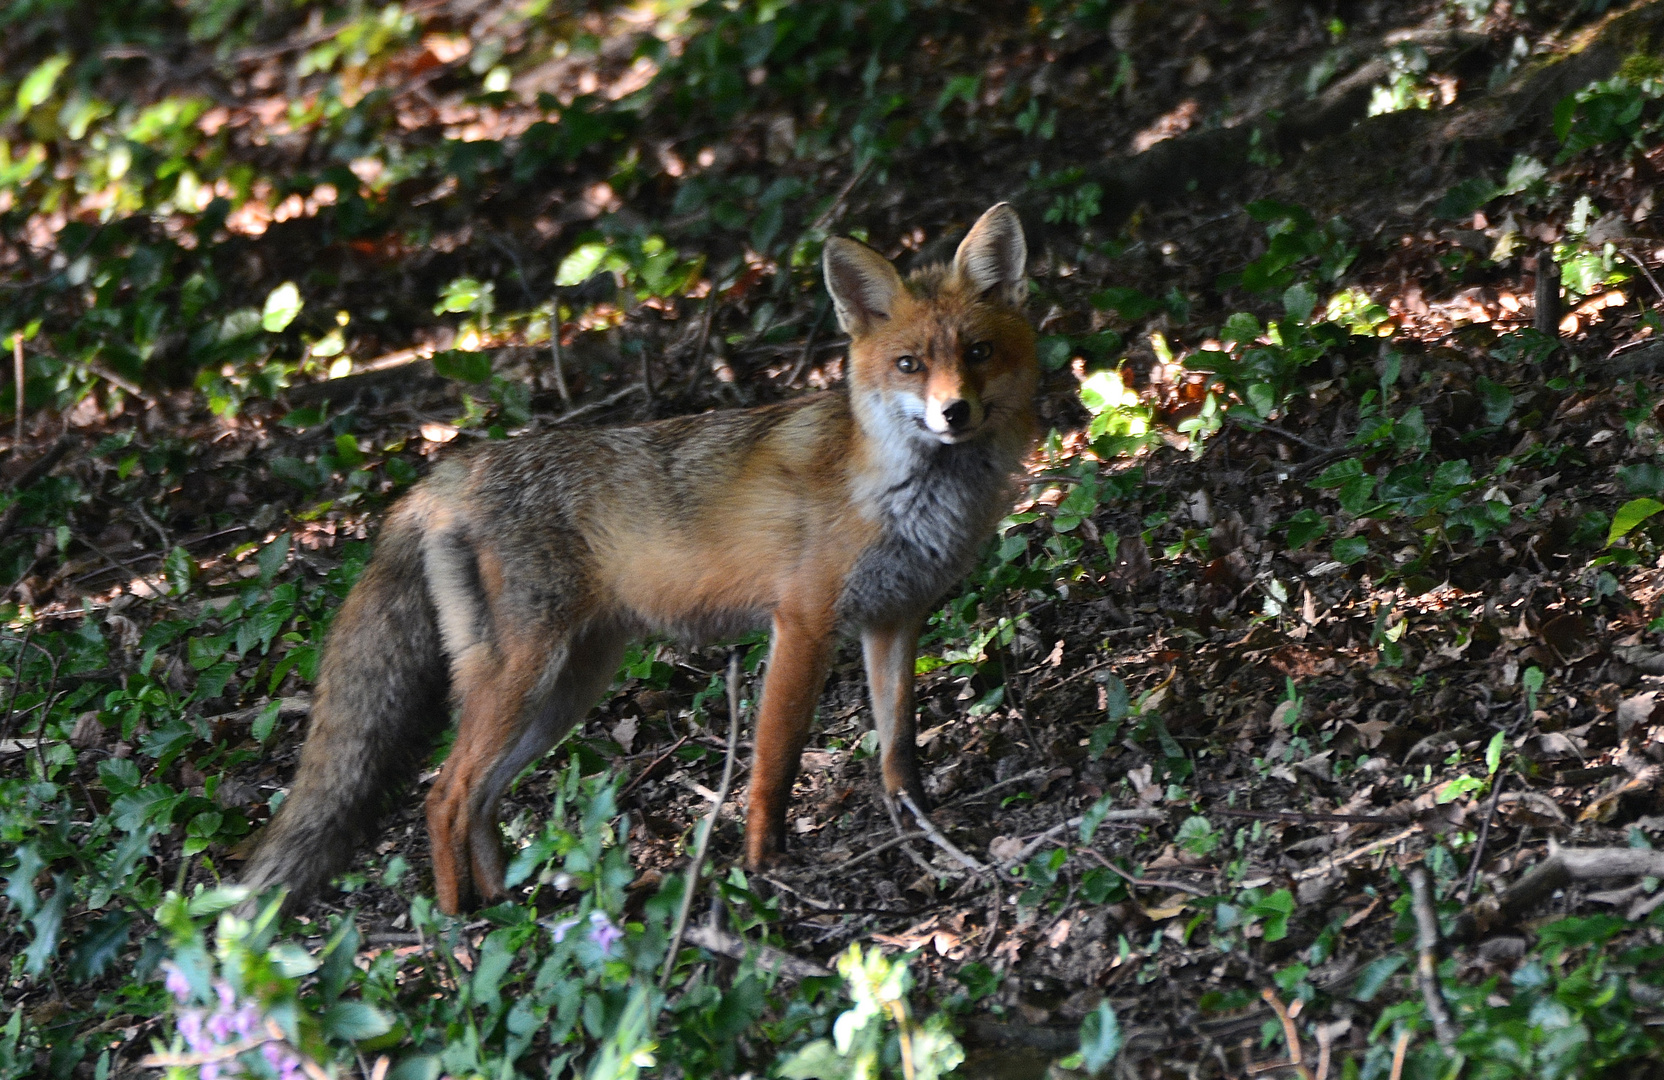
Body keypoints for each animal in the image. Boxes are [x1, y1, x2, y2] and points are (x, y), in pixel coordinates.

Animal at [239, 202, 1031, 911]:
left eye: (977, 353)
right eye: (909, 364)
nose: (954, 412)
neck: (904, 494)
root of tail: (449, 473)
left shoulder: (895, 617)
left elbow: (899, 748)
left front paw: (917, 828)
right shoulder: (802, 625)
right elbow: (774, 765)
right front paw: (764, 869)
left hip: (565, 688)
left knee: (480, 800)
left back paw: (508, 911)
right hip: (526, 676)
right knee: (444, 796)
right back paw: (457, 929)